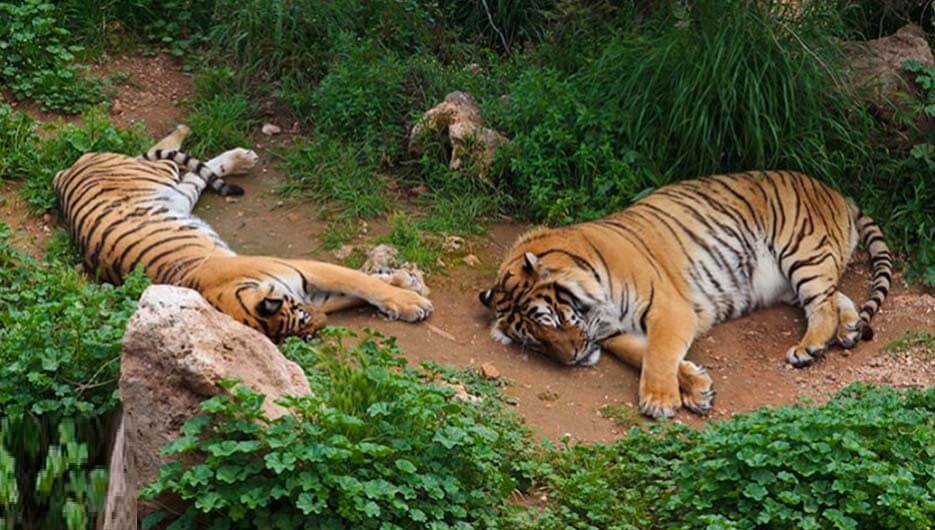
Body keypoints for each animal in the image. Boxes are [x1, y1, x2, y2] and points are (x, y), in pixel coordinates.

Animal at [56, 122, 436, 338]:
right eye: (302, 325)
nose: (323, 324)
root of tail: (63, 172)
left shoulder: (305, 270)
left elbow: (361, 282)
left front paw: (405, 289)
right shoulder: (310, 290)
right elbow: (355, 288)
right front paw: (408, 294)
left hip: (161, 177)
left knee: (161, 154)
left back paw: (203, 138)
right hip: (173, 190)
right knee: (190, 169)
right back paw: (235, 156)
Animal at [482, 169, 892, 416]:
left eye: (550, 320)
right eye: (536, 341)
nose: (572, 359)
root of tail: (833, 190)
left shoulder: (669, 308)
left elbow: (658, 353)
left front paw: (660, 401)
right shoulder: (613, 334)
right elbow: (641, 354)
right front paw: (697, 386)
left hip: (802, 251)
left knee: (823, 303)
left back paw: (811, 347)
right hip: (793, 279)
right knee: (836, 297)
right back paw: (849, 330)